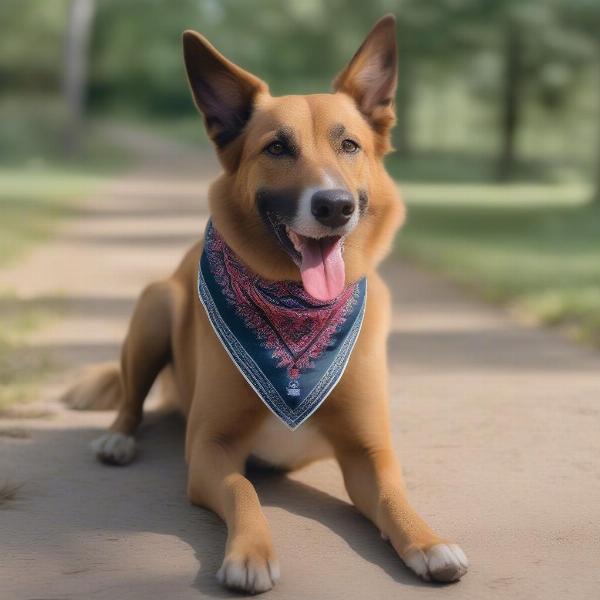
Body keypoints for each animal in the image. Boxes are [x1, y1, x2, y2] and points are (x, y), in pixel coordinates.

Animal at [64, 15, 468, 596]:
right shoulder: (210, 448)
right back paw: (118, 439)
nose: (334, 206)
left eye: (350, 145)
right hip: (155, 307)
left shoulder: (369, 453)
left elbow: (395, 496)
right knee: (133, 400)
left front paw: (430, 542)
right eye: (277, 148)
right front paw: (250, 554)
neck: (296, 308)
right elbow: (244, 490)